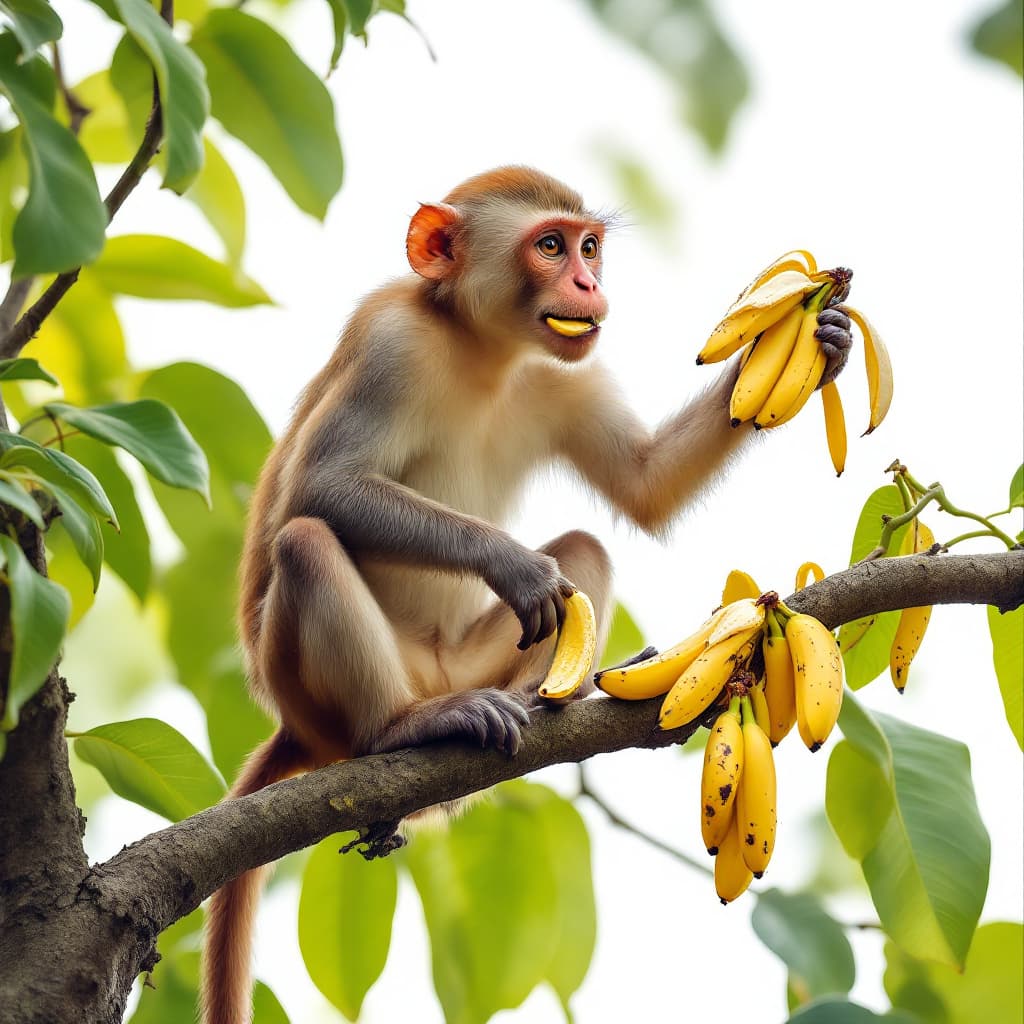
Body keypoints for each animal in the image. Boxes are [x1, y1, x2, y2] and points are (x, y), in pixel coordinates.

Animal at [199, 166, 852, 1024]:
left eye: (589, 246)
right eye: (549, 246)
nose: (588, 283)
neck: (483, 349)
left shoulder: (567, 374)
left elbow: (645, 485)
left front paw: (826, 337)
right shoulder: (389, 347)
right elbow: (324, 487)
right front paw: (509, 563)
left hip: (470, 660)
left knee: (585, 553)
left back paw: (534, 708)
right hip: (312, 687)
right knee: (305, 540)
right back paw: (398, 728)